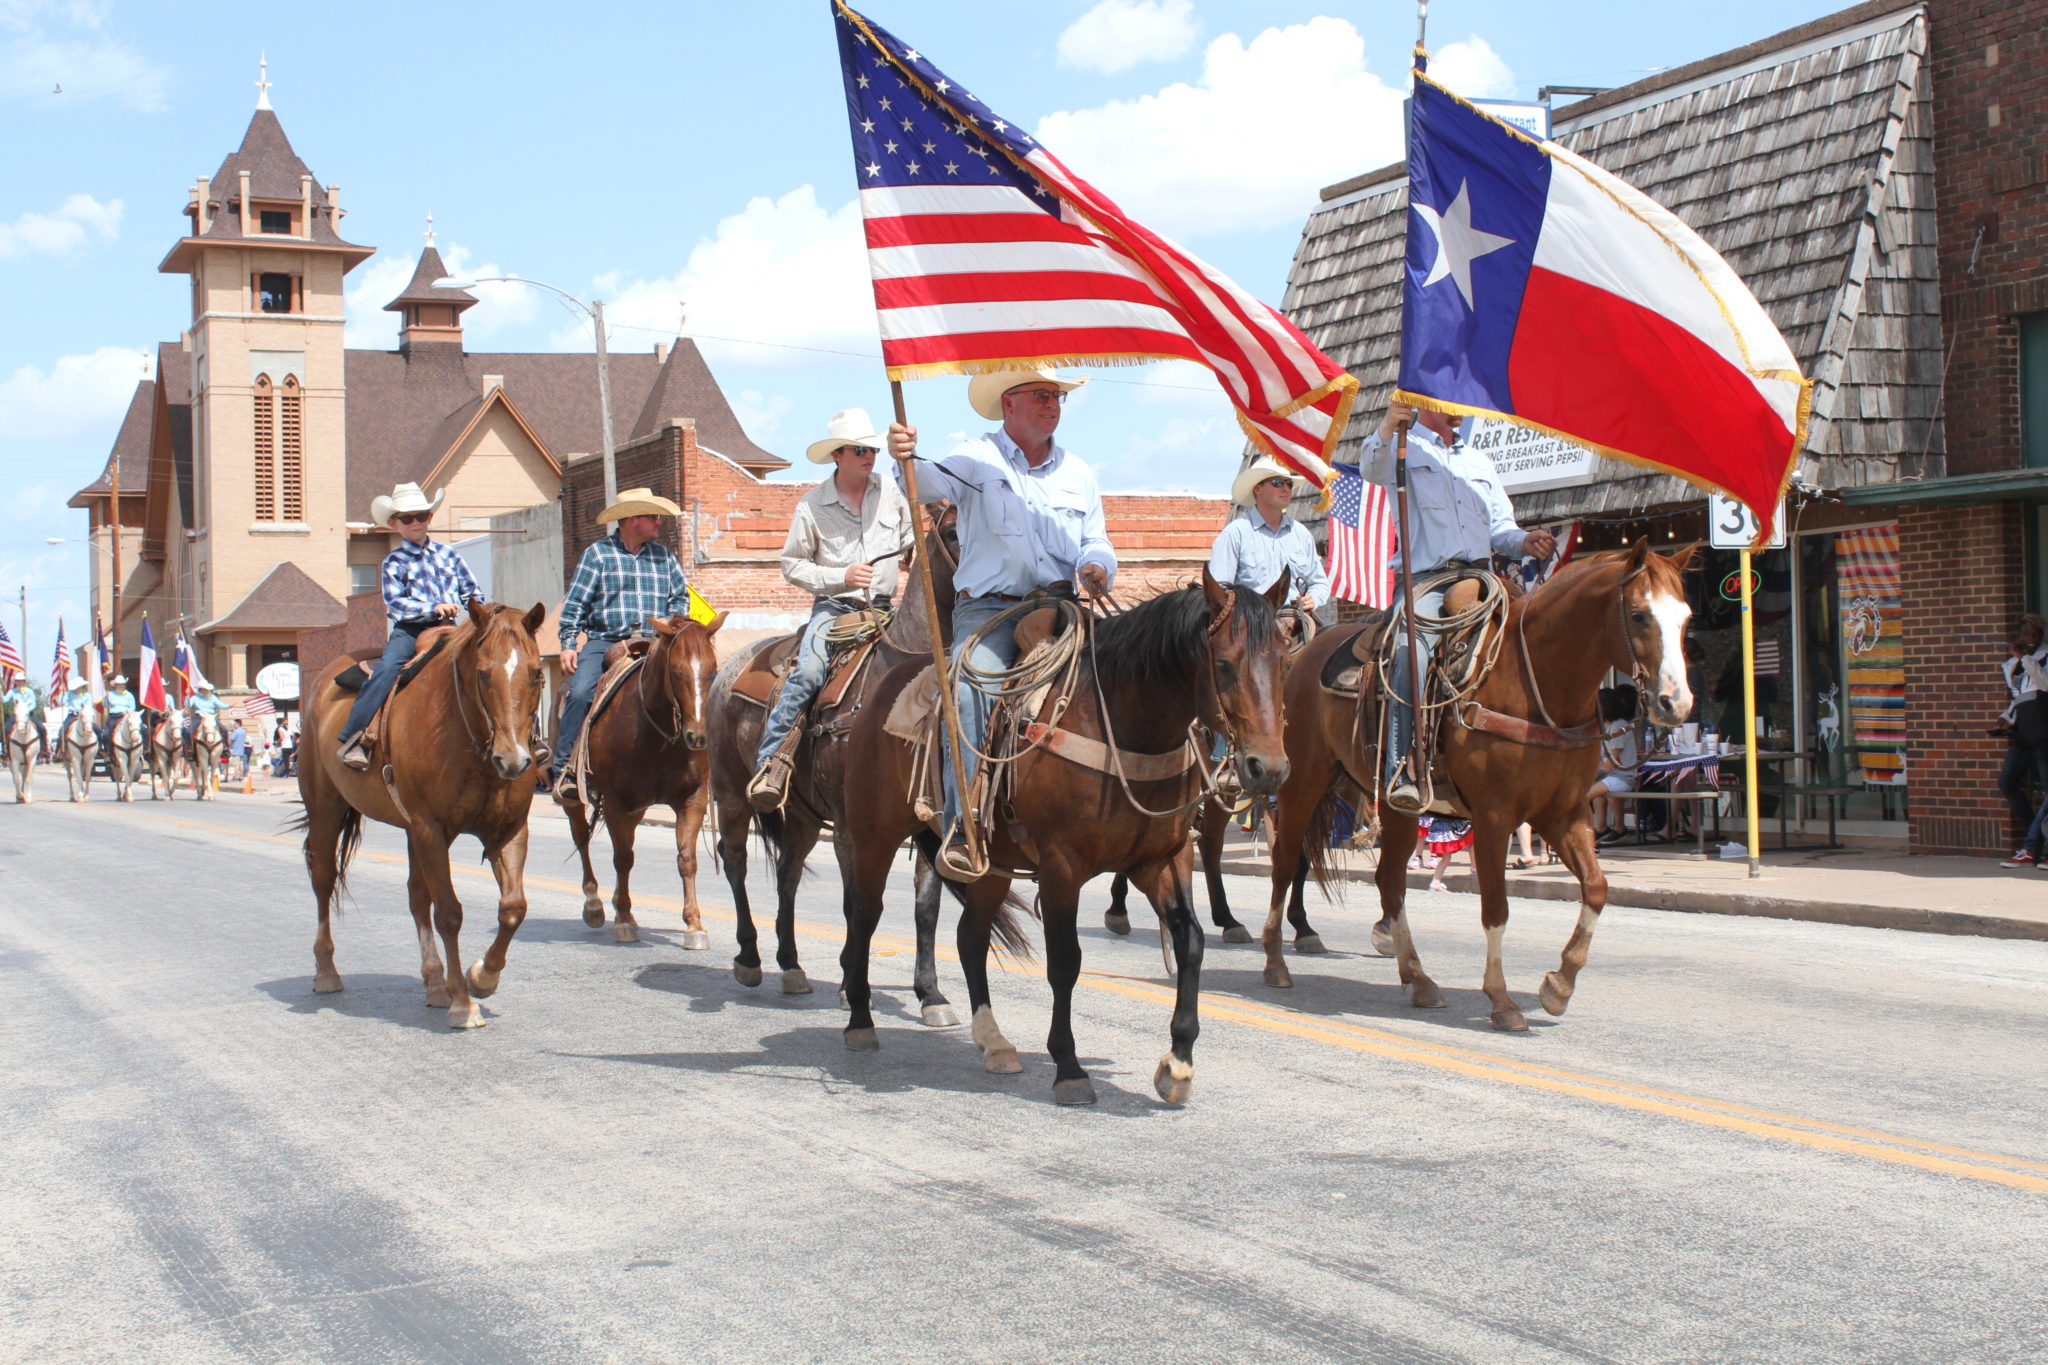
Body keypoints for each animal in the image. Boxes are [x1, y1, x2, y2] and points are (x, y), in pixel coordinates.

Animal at [296, 601, 548, 1031]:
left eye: (535, 673)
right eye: (483, 674)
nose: (513, 760)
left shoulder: (508, 830)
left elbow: (513, 907)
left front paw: (482, 977)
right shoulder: (431, 828)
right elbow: (448, 912)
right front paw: (463, 1003)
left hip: (411, 830)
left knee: (416, 896)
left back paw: (434, 983)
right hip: (326, 809)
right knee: (324, 881)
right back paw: (327, 972)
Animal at [569, 618, 729, 949]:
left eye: (712, 669)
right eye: (676, 672)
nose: (698, 735)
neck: (658, 736)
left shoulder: (692, 800)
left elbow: (687, 859)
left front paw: (694, 925)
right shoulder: (616, 802)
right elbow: (623, 859)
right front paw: (624, 921)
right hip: (577, 793)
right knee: (580, 836)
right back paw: (594, 904)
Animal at [704, 507, 958, 1019]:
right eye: (955, 531)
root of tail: (727, 670)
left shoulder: (929, 822)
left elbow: (926, 906)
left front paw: (931, 994)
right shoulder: (849, 828)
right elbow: (855, 904)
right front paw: (850, 984)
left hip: (801, 815)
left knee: (787, 873)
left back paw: (791, 965)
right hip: (730, 793)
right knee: (736, 860)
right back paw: (749, 958)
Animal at [835, 577, 1286, 1113]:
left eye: (1284, 658)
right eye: (1224, 665)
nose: (1268, 768)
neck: (1125, 728)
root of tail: (881, 686)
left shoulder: (1163, 859)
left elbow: (1191, 942)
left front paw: (1177, 1064)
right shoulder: (1060, 868)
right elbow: (1066, 961)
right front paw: (1069, 1068)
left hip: (989, 864)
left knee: (970, 936)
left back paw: (995, 1042)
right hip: (873, 835)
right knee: (864, 915)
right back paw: (859, 1021)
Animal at [1261, 540, 1695, 1031]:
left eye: (1686, 617)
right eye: (1639, 615)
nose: (1676, 703)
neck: (1538, 684)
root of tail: (1301, 655)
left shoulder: (1564, 812)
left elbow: (1597, 887)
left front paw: (1559, 985)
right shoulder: (1494, 816)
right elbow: (1496, 908)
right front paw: (1502, 1001)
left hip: (1396, 806)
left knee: (1388, 880)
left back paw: (1418, 979)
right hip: (1302, 785)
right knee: (1284, 864)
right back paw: (1276, 962)